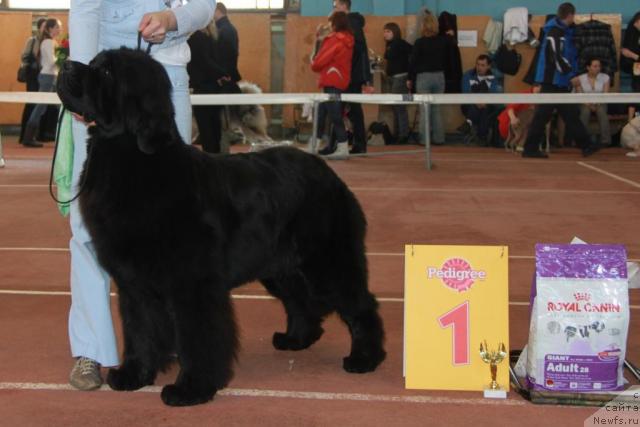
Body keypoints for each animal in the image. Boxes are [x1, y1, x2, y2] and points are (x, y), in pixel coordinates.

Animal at [57, 48, 384, 406]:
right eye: (94, 62)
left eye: (106, 73)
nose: (66, 64)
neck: (136, 160)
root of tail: (329, 174)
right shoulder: (134, 283)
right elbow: (140, 329)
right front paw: (134, 374)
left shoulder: (192, 283)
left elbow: (198, 337)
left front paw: (191, 388)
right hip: (280, 266)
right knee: (300, 300)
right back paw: (296, 339)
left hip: (327, 260)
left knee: (361, 304)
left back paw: (365, 358)